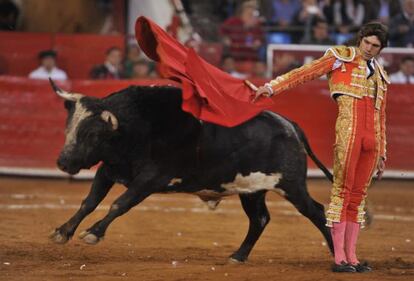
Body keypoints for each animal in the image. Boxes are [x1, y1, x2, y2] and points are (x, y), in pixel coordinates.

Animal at [47, 81, 334, 262]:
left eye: (93, 134)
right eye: (69, 127)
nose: (63, 162)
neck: (138, 126)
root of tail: (290, 125)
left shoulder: (150, 179)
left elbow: (119, 204)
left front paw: (93, 233)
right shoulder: (109, 169)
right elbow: (89, 201)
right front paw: (62, 232)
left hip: (291, 185)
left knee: (317, 212)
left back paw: (338, 259)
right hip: (252, 190)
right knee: (260, 219)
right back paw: (238, 256)